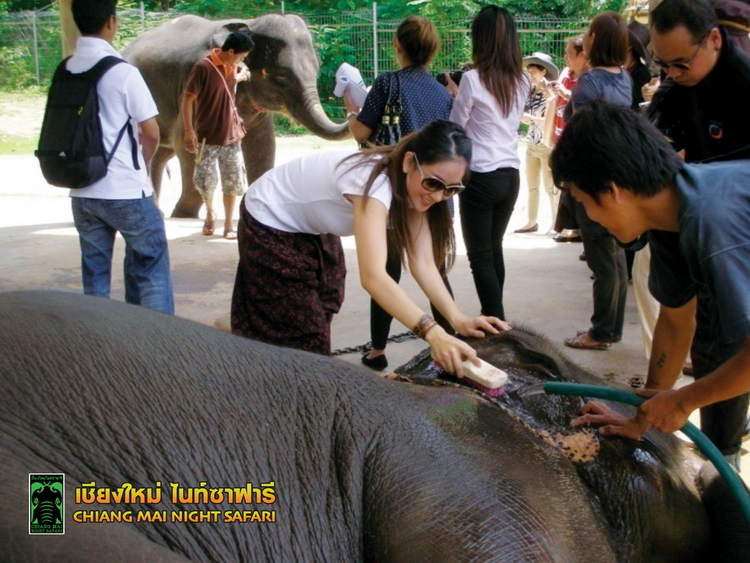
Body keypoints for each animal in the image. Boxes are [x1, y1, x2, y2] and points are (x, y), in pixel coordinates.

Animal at [126, 15, 352, 218]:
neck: (249, 23)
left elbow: (263, 145)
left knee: (161, 153)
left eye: (316, 70)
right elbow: (185, 144)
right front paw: (184, 215)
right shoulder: (192, 82)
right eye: (281, 78)